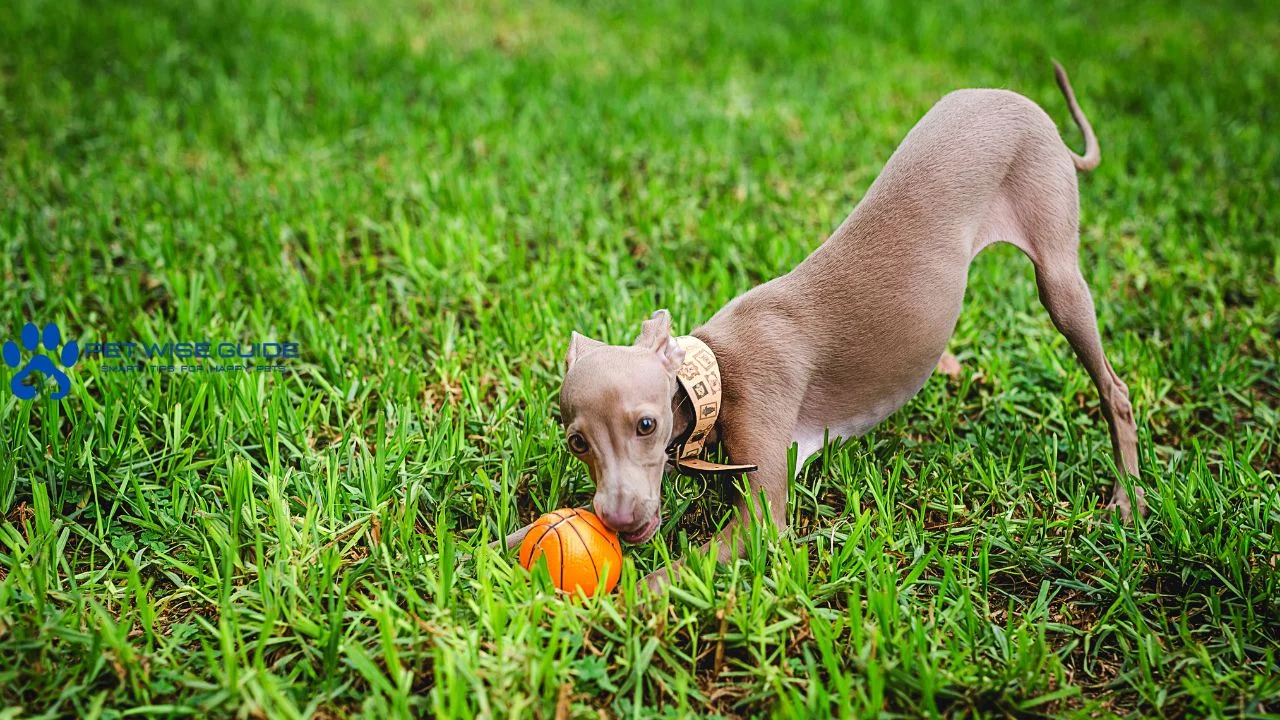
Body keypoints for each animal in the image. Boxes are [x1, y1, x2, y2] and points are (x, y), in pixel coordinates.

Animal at [499, 63, 1141, 589]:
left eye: (646, 425)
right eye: (577, 442)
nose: (620, 520)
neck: (714, 369)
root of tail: (1034, 111)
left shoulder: (760, 516)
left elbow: (663, 577)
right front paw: (494, 552)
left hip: (1058, 277)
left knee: (1116, 388)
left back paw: (1127, 499)